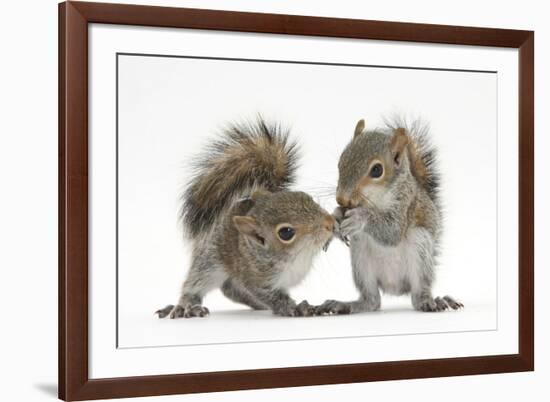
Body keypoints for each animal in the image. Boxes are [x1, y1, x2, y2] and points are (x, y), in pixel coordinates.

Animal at [156, 118, 336, 318]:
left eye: (306, 197)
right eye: (286, 232)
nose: (329, 223)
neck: (297, 257)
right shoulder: (254, 278)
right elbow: (271, 296)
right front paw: (292, 307)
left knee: (231, 289)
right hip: (209, 261)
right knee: (198, 284)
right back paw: (185, 305)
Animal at [316, 118, 464, 316]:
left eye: (377, 170)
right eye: (341, 161)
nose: (342, 199)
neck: (376, 198)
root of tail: (395, 288)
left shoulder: (405, 204)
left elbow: (392, 231)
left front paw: (359, 218)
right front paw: (335, 219)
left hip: (420, 249)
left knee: (417, 296)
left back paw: (432, 302)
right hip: (361, 258)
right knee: (372, 301)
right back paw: (345, 305)